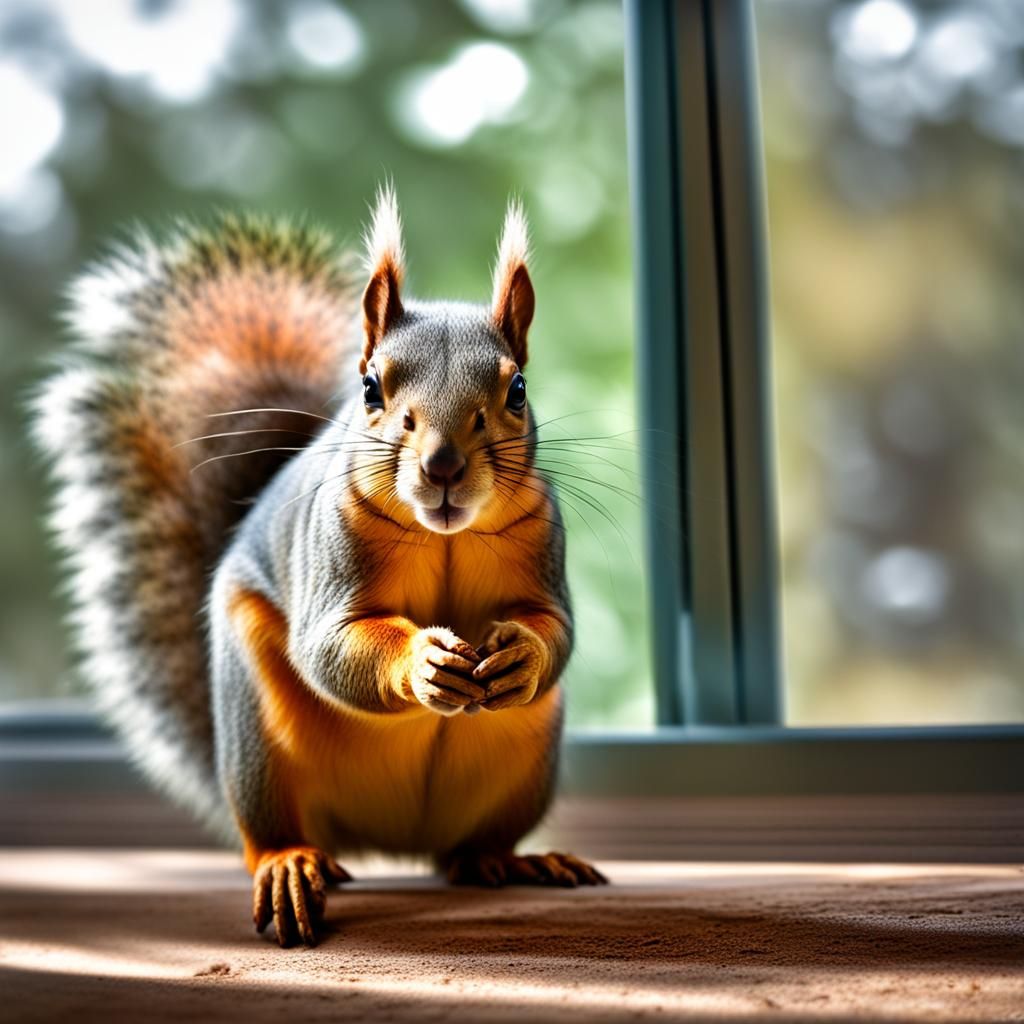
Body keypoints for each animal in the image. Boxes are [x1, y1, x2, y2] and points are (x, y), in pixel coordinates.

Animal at [33, 187, 607, 947]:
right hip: (257, 746)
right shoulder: (329, 551)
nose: (444, 466)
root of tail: (387, 839)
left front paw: (520, 653)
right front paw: (422, 661)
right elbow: (329, 647)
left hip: (526, 759)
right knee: (276, 829)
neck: (444, 536)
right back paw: (290, 866)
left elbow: (555, 626)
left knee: (469, 852)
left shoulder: (544, 540)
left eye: (516, 391)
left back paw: (512, 862)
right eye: (370, 389)